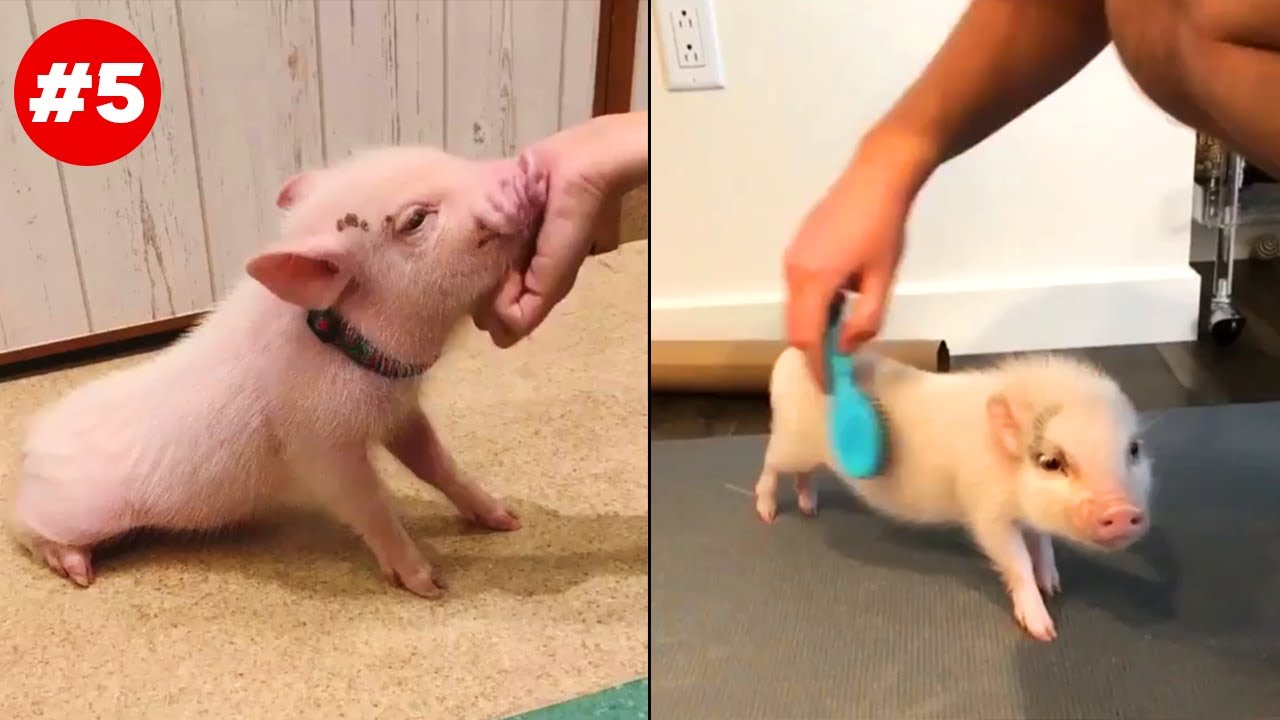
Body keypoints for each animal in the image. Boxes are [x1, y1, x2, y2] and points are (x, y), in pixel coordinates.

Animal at [5, 144, 548, 599]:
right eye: (416, 219)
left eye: (444, 153)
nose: (525, 166)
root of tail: (32, 439)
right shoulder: (318, 442)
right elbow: (368, 503)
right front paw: (431, 586)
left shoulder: (399, 411)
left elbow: (436, 463)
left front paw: (508, 520)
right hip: (72, 512)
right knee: (20, 524)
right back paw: (78, 572)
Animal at [756, 346, 1156, 641]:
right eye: (1050, 461)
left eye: (1134, 449)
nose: (1121, 511)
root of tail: (788, 356)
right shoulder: (986, 514)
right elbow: (1016, 561)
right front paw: (1043, 631)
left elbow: (1042, 544)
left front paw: (1054, 587)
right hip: (789, 440)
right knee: (771, 464)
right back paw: (767, 513)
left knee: (803, 475)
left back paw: (809, 508)